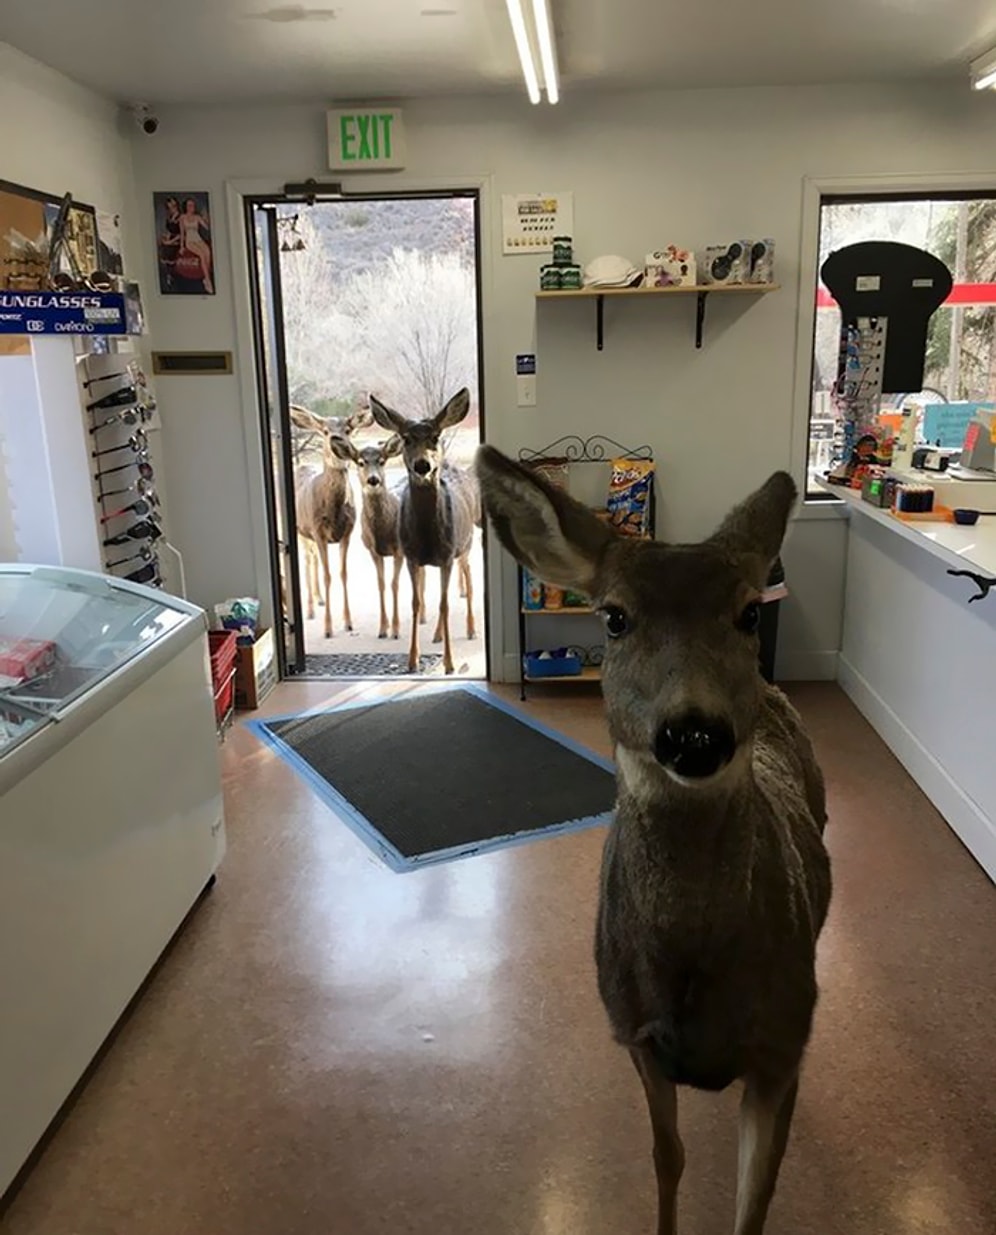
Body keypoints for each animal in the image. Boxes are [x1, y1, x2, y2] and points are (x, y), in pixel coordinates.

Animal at [290, 405, 373, 637]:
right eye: (326, 431)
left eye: (348, 429)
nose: (337, 440)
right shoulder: (318, 532)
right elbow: (328, 575)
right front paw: (327, 628)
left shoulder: (347, 533)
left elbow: (343, 574)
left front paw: (348, 622)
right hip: (300, 531)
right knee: (307, 561)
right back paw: (310, 609)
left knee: (313, 560)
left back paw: (318, 599)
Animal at [328, 434, 405, 642]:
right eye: (361, 462)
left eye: (382, 461)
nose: (373, 479)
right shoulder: (373, 551)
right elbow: (381, 584)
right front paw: (383, 629)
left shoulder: (399, 550)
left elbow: (395, 584)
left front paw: (396, 630)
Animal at [370, 387, 479, 671]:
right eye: (406, 439)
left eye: (435, 436)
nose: (423, 465)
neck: (429, 535)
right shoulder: (411, 556)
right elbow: (416, 603)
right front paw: (412, 660)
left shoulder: (447, 554)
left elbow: (445, 604)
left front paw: (450, 663)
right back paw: (438, 635)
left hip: (465, 545)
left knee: (468, 579)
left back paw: (471, 629)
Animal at [476, 449, 835, 1235]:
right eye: (613, 616)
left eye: (748, 611)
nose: (694, 732)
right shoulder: (635, 1031)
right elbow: (665, 1158)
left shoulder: (784, 1043)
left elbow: (756, 1197)